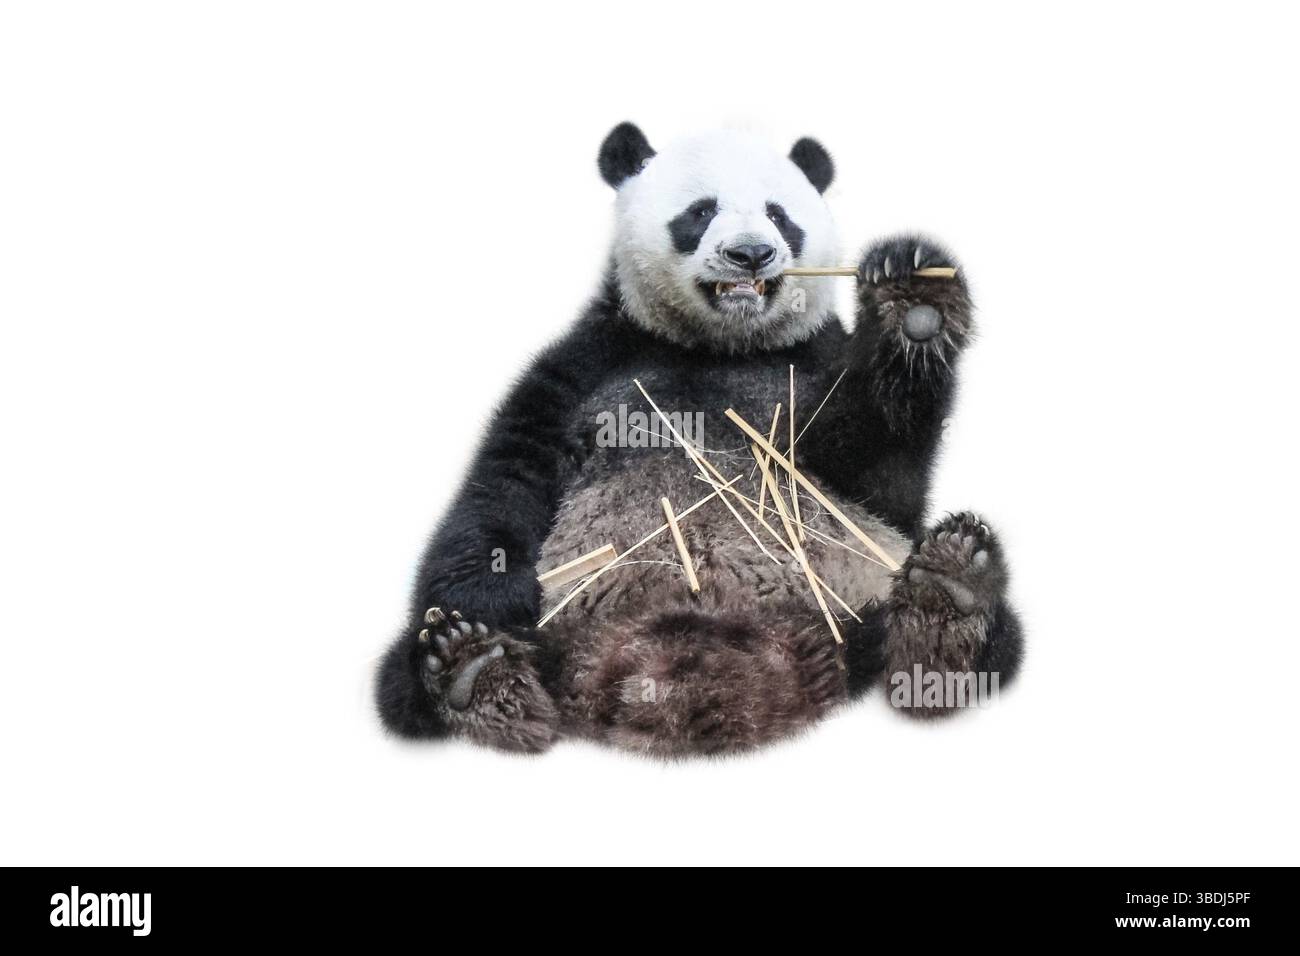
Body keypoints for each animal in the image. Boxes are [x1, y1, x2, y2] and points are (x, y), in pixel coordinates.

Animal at [375, 123, 1024, 756]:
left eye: (779, 214)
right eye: (700, 211)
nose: (751, 254)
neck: (722, 346)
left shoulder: (813, 365)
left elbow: (879, 479)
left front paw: (914, 303)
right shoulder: (586, 364)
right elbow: (505, 484)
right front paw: (488, 604)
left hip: (858, 601)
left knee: (982, 643)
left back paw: (947, 605)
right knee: (404, 679)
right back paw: (472, 671)